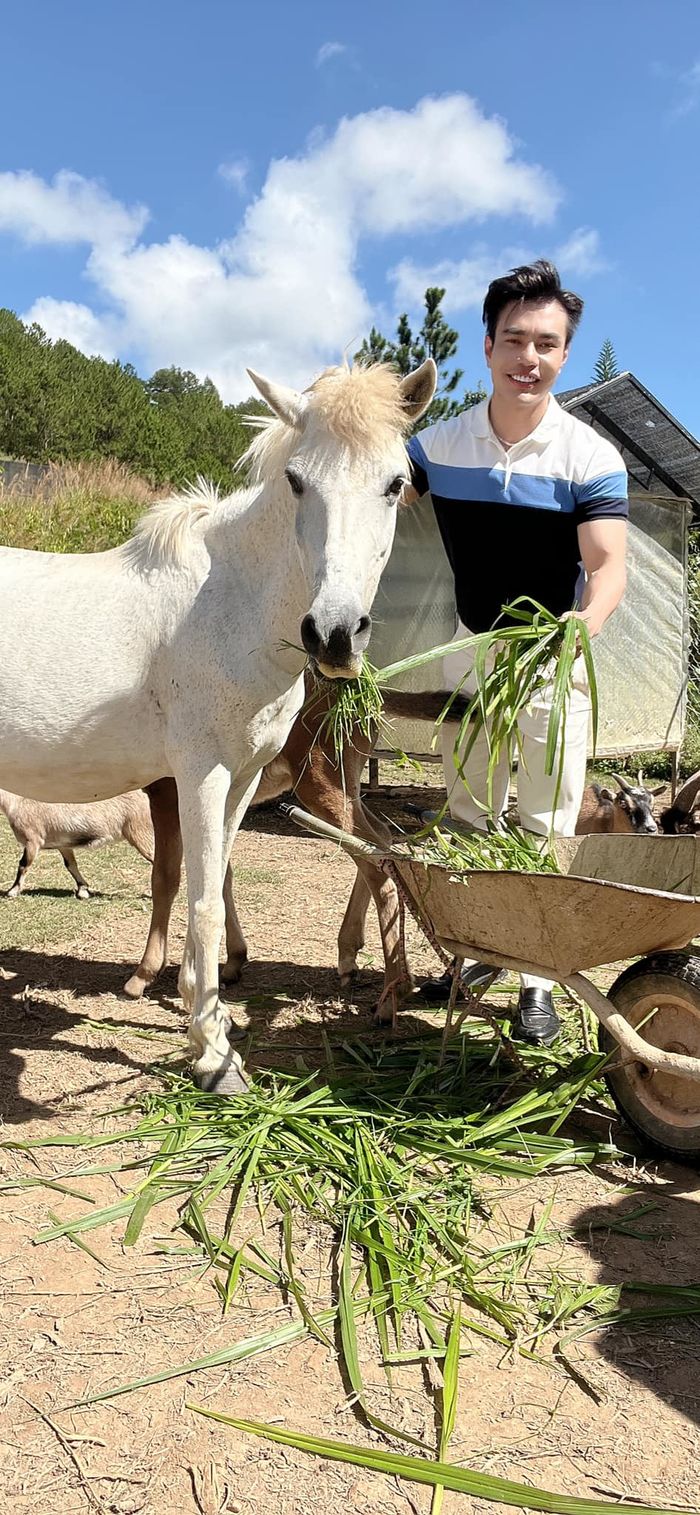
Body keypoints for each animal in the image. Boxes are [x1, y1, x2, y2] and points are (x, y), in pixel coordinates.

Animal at [1, 787, 154, 890]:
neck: (17, 802)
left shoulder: (33, 840)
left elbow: (23, 864)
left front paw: (12, 891)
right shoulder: (63, 845)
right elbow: (71, 865)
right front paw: (83, 890)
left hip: (140, 831)